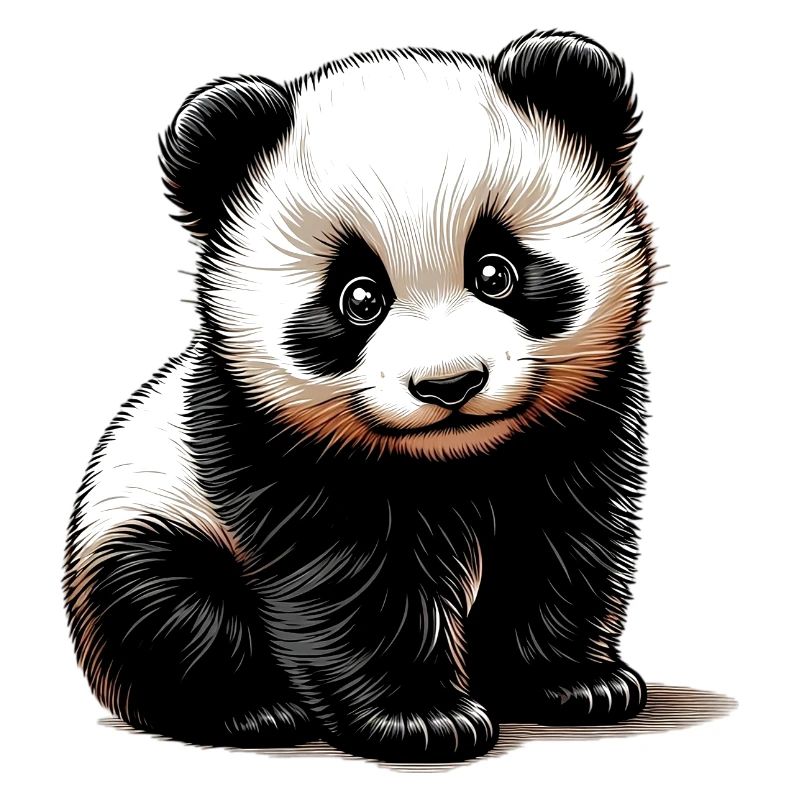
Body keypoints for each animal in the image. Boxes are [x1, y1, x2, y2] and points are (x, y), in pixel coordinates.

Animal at [64, 29, 655, 763]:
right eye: (360, 297)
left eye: (496, 271)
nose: (450, 384)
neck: (455, 461)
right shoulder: (268, 447)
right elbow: (345, 580)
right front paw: (422, 719)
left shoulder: (578, 429)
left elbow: (566, 542)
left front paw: (573, 683)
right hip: (147, 515)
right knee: (166, 606)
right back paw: (252, 711)